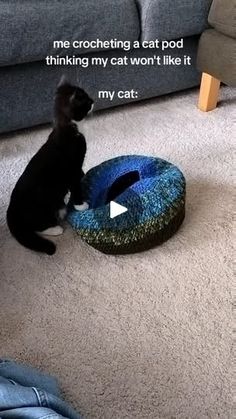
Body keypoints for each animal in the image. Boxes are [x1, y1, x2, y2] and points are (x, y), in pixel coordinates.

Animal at [6, 79, 93, 256]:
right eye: (86, 101)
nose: (93, 101)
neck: (69, 128)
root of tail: (11, 210)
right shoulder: (72, 168)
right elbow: (76, 186)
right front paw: (81, 205)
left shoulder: (78, 165)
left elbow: (81, 174)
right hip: (45, 207)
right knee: (37, 226)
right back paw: (55, 229)